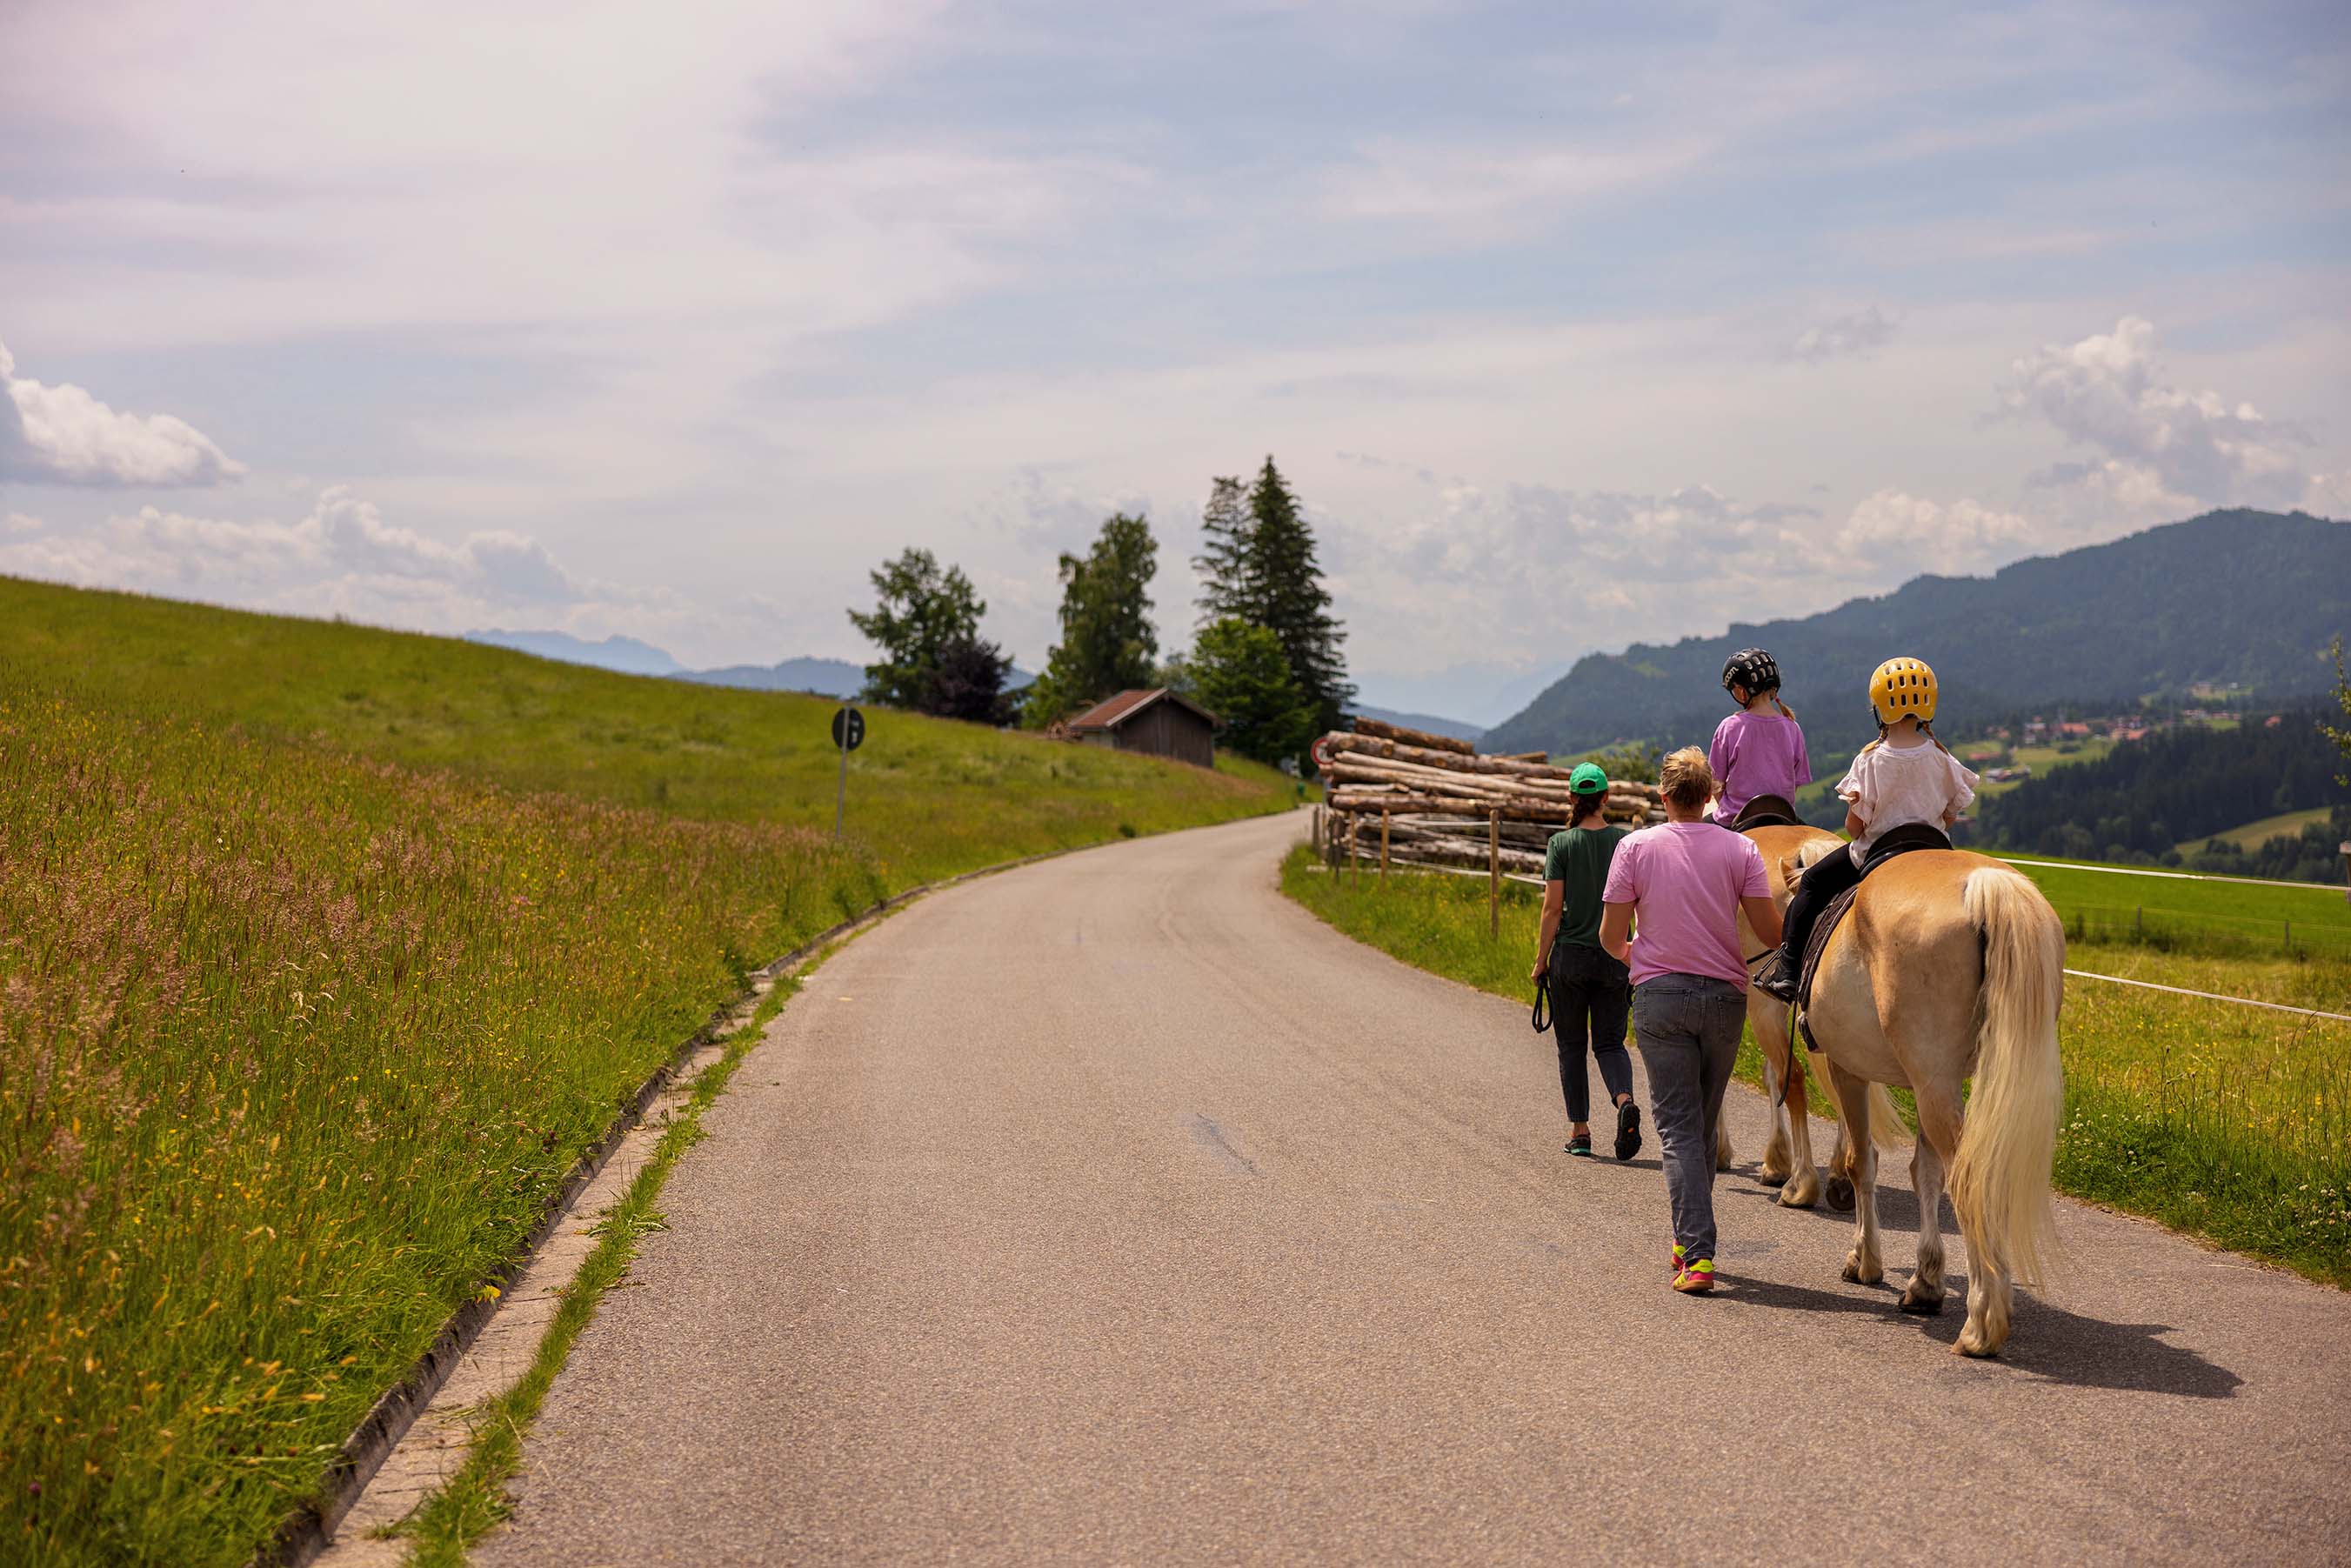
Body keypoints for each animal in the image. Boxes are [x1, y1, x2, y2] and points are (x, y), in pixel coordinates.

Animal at [1765, 836, 2067, 1357]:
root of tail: (1985, 884)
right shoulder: (1930, 1086)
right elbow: (1925, 1174)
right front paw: (1925, 1281)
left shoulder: (1849, 1070)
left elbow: (1862, 1163)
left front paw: (1865, 1260)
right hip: (1943, 1085)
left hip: (1931, 1086)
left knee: (1969, 1181)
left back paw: (1982, 1324)